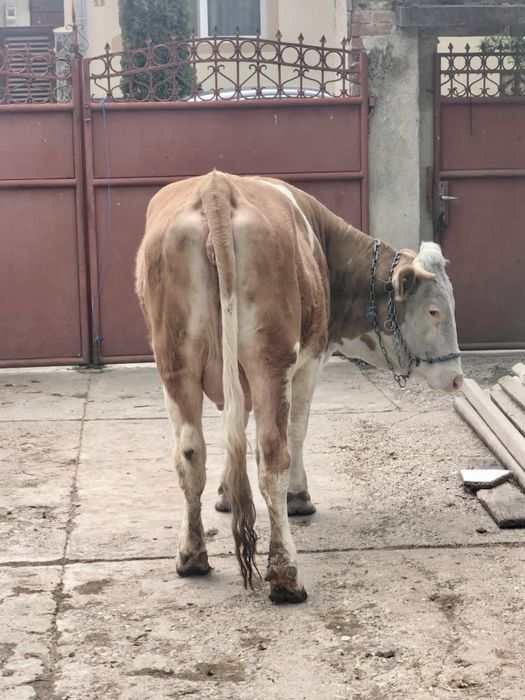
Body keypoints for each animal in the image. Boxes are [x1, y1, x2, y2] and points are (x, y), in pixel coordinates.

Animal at [135, 170, 463, 604]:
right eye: (434, 310)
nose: (458, 377)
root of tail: (217, 185)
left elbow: (235, 428)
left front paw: (225, 494)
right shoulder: (309, 362)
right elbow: (297, 432)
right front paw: (299, 497)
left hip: (175, 362)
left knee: (190, 453)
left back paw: (191, 557)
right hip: (271, 360)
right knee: (273, 453)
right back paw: (286, 574)